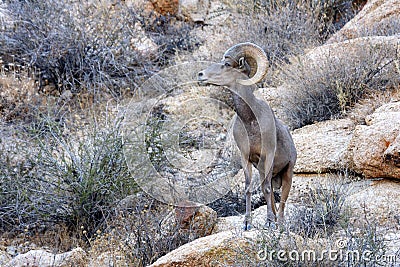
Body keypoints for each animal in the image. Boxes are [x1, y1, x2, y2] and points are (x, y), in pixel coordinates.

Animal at [198, 42, 296, 230]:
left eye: (227, 64)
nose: (200, 75)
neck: (251, 121)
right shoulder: (246, 158)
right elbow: (249, 188)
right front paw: (247, 223)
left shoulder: (268, 155)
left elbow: (266, 189)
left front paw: (268, 222)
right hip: (267, 173)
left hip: (287, 173)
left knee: (282, 201)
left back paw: (279, 224)